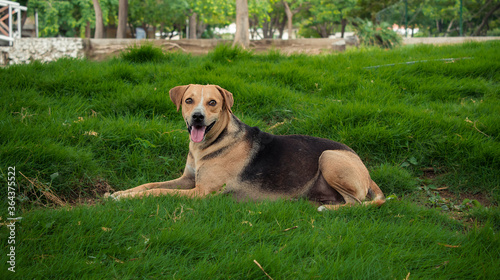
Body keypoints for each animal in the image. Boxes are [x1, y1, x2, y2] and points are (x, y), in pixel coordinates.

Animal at [109, 84, 384, 211]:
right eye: (188, 100)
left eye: (212, 103)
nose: (197, 117)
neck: (213, 142)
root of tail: (366, 171)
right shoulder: (188, 180)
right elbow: (150, 185)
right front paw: (120, 193)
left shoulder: (200, 192)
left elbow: (157, 192)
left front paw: (127, 198)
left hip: (329, 157)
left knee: (356, 203)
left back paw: (327, 208)